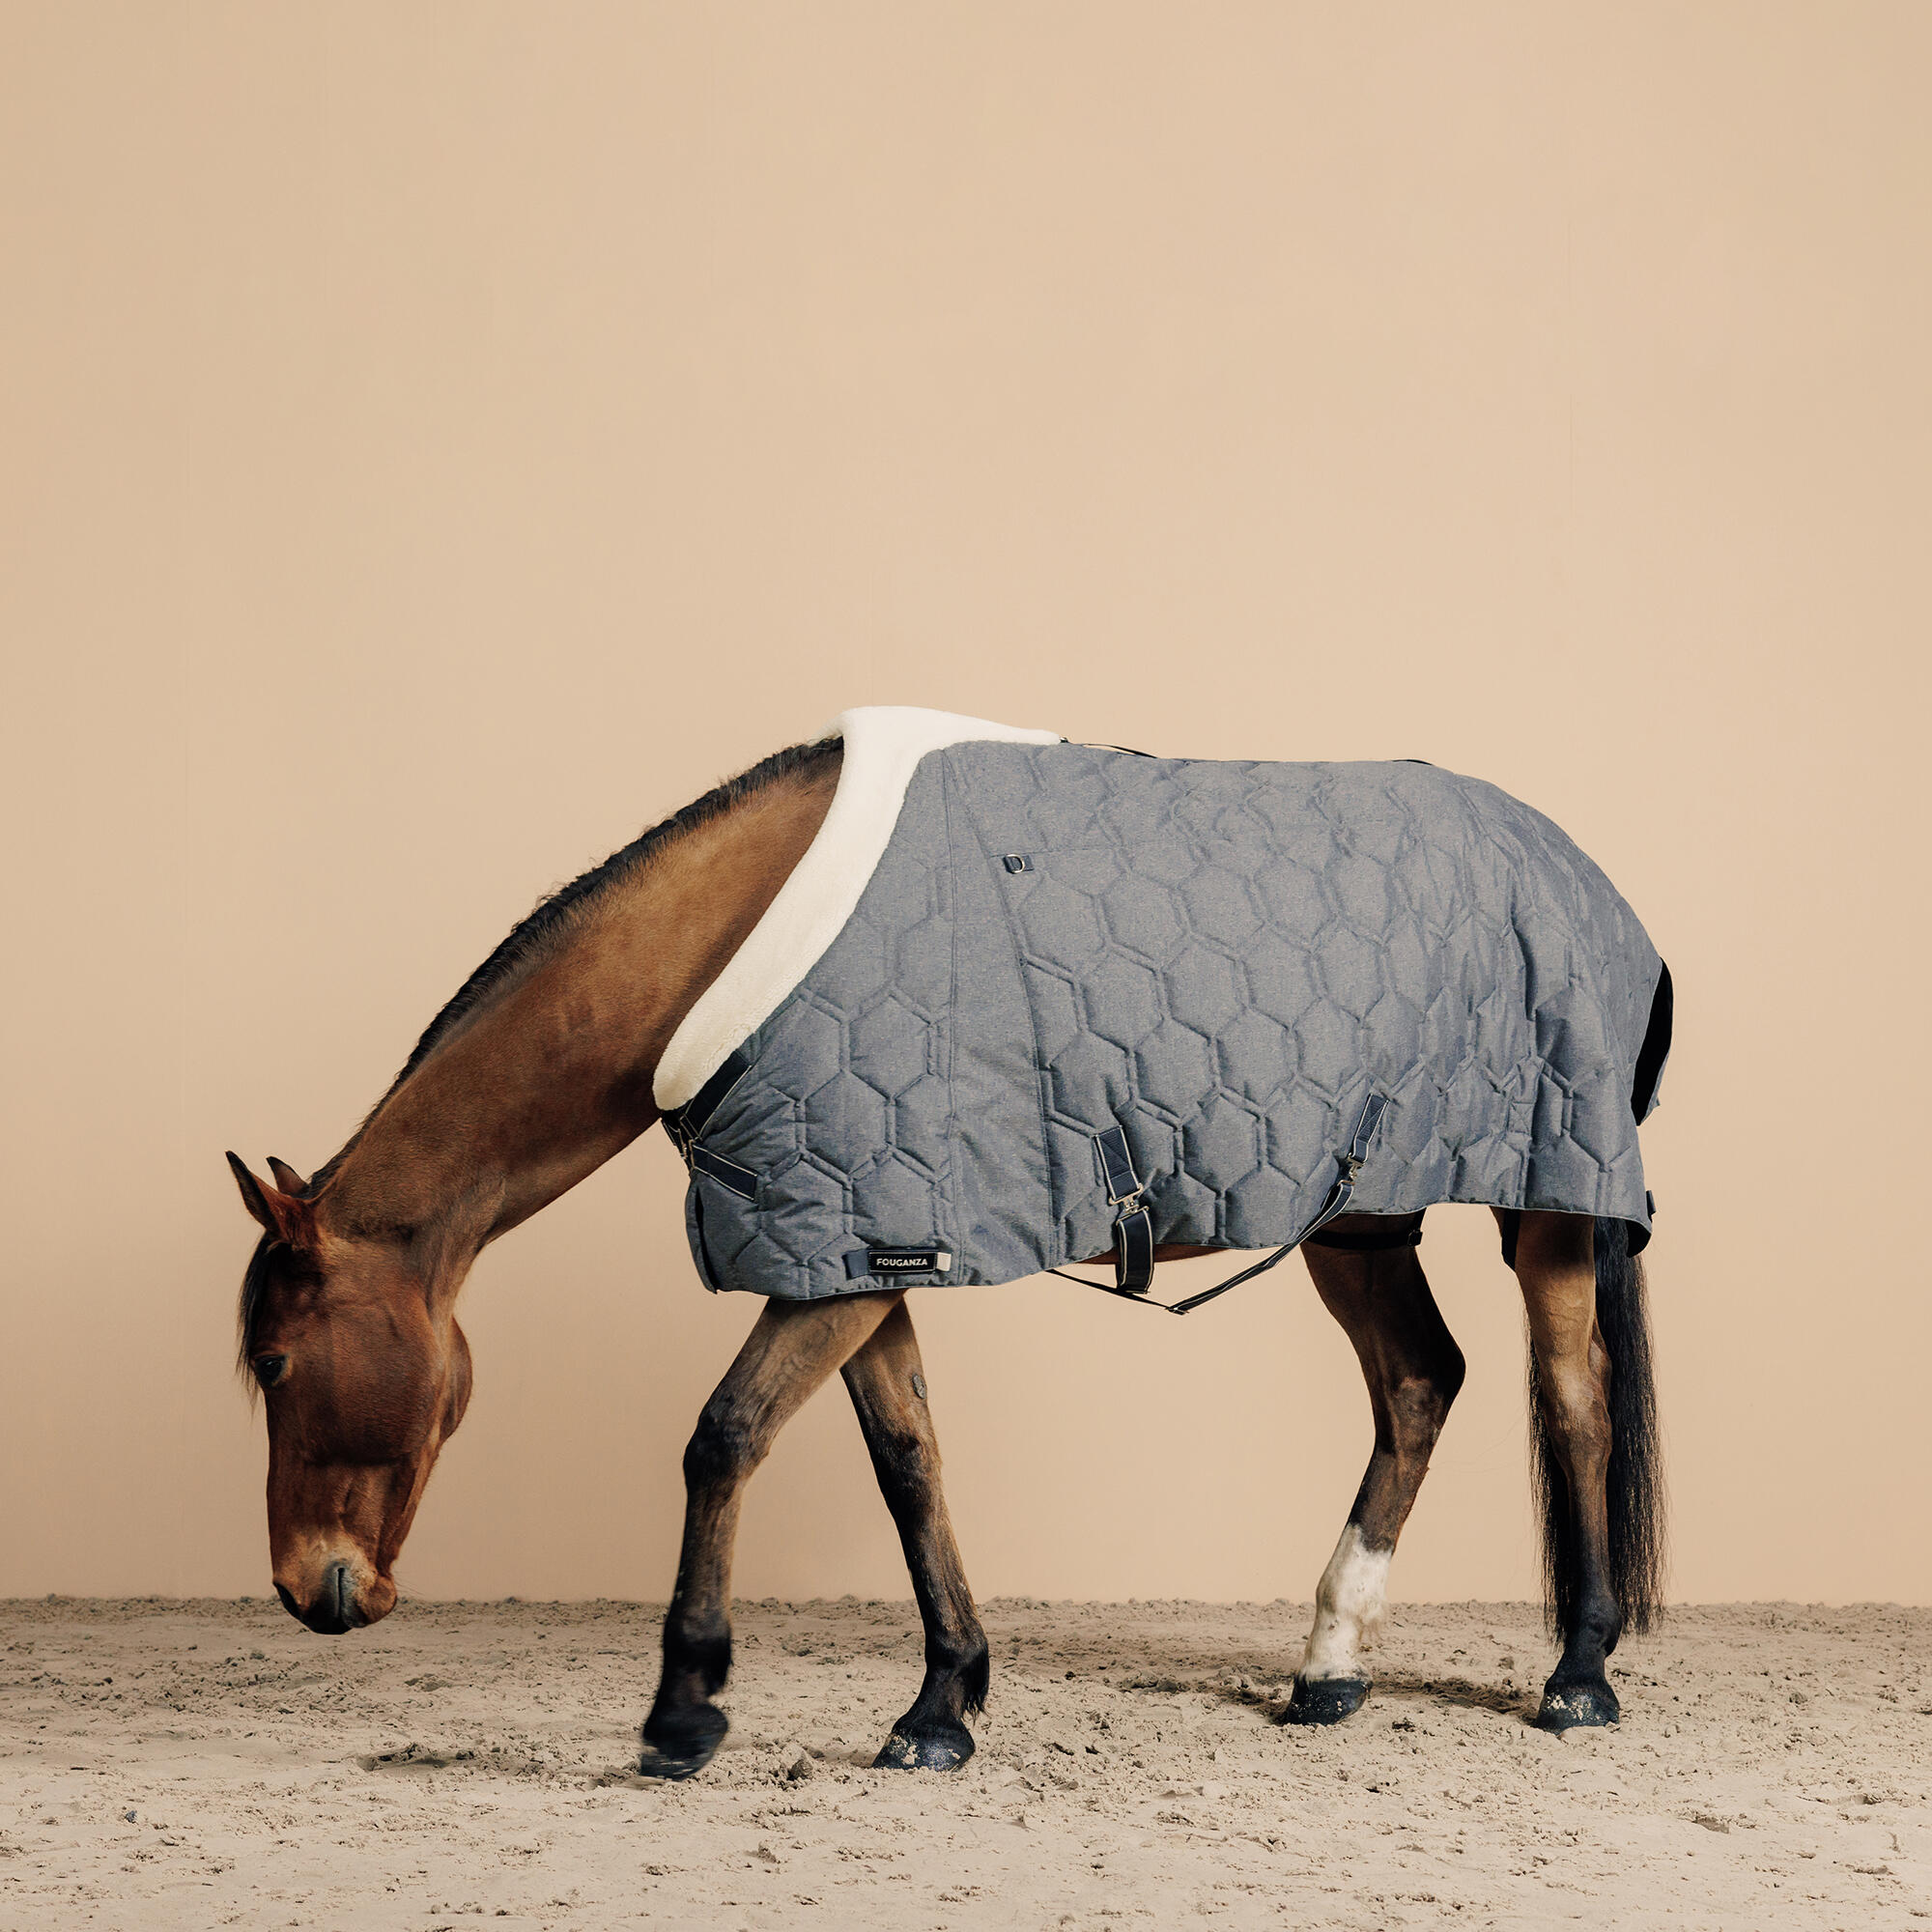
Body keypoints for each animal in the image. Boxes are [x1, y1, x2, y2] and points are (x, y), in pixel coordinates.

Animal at [229, 712, 1666, 1779]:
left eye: (279, 1365)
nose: (310, 1591)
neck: (747, 942)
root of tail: (1586, 879)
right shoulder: (866, 1249)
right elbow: (908, 1460)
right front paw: (941, 1705)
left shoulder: (840, 1251)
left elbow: (723, 1437)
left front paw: (686, 1708)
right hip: (1358, 1211)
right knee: (1420, 1381)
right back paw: (1330, 1664)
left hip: (1552, 1195)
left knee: (1573, 1400)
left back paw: (1578, 1676)